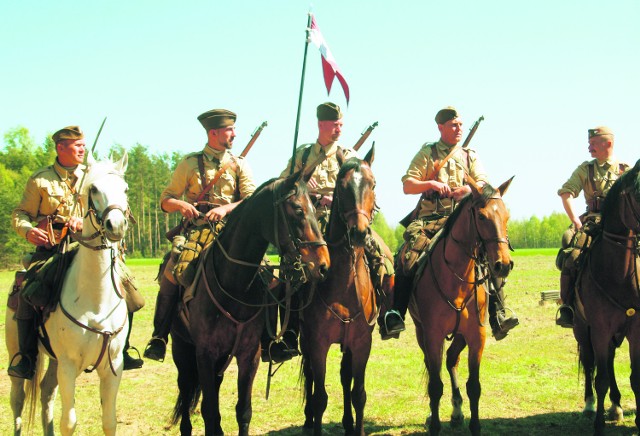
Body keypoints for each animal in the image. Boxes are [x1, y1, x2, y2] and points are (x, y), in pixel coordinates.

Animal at [170, 169, 330, 436]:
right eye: (298, 210)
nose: (323, 265)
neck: (233, 283)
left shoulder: (248, 355)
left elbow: (243, 411)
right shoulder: (204, 354)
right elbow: (210, 413)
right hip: (181, 348)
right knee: (185, 387)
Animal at [302, 147, 380, 436]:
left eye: (373, 184)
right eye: (342, 187)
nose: (358, 233)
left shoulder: (361, 343)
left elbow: (358, 393)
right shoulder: (318, 343)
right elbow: (319, 397)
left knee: (345, 378)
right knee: (310, 378)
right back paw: (307, 420)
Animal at [410, 177, 516, 436]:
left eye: (506, 216)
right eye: (482, 217)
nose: (503, 265)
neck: (456, 277)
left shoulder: (477, 335)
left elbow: (474, 386)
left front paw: (474, 425)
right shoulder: (433, 334)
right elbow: (435, 385)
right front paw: (435, 425)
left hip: (459, 334)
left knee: (451, 360)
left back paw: (457, 410)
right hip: (421, 332)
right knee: (434, 367)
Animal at [568, 158, 640, 434]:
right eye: (637, 193)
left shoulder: (634, 329)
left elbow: (635, 375)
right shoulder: (599, 328)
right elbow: (600, 380)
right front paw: (598, 424)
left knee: (608, 361)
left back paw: (617, 405)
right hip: (581, 328)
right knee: (591, 364)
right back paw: (590, 406)